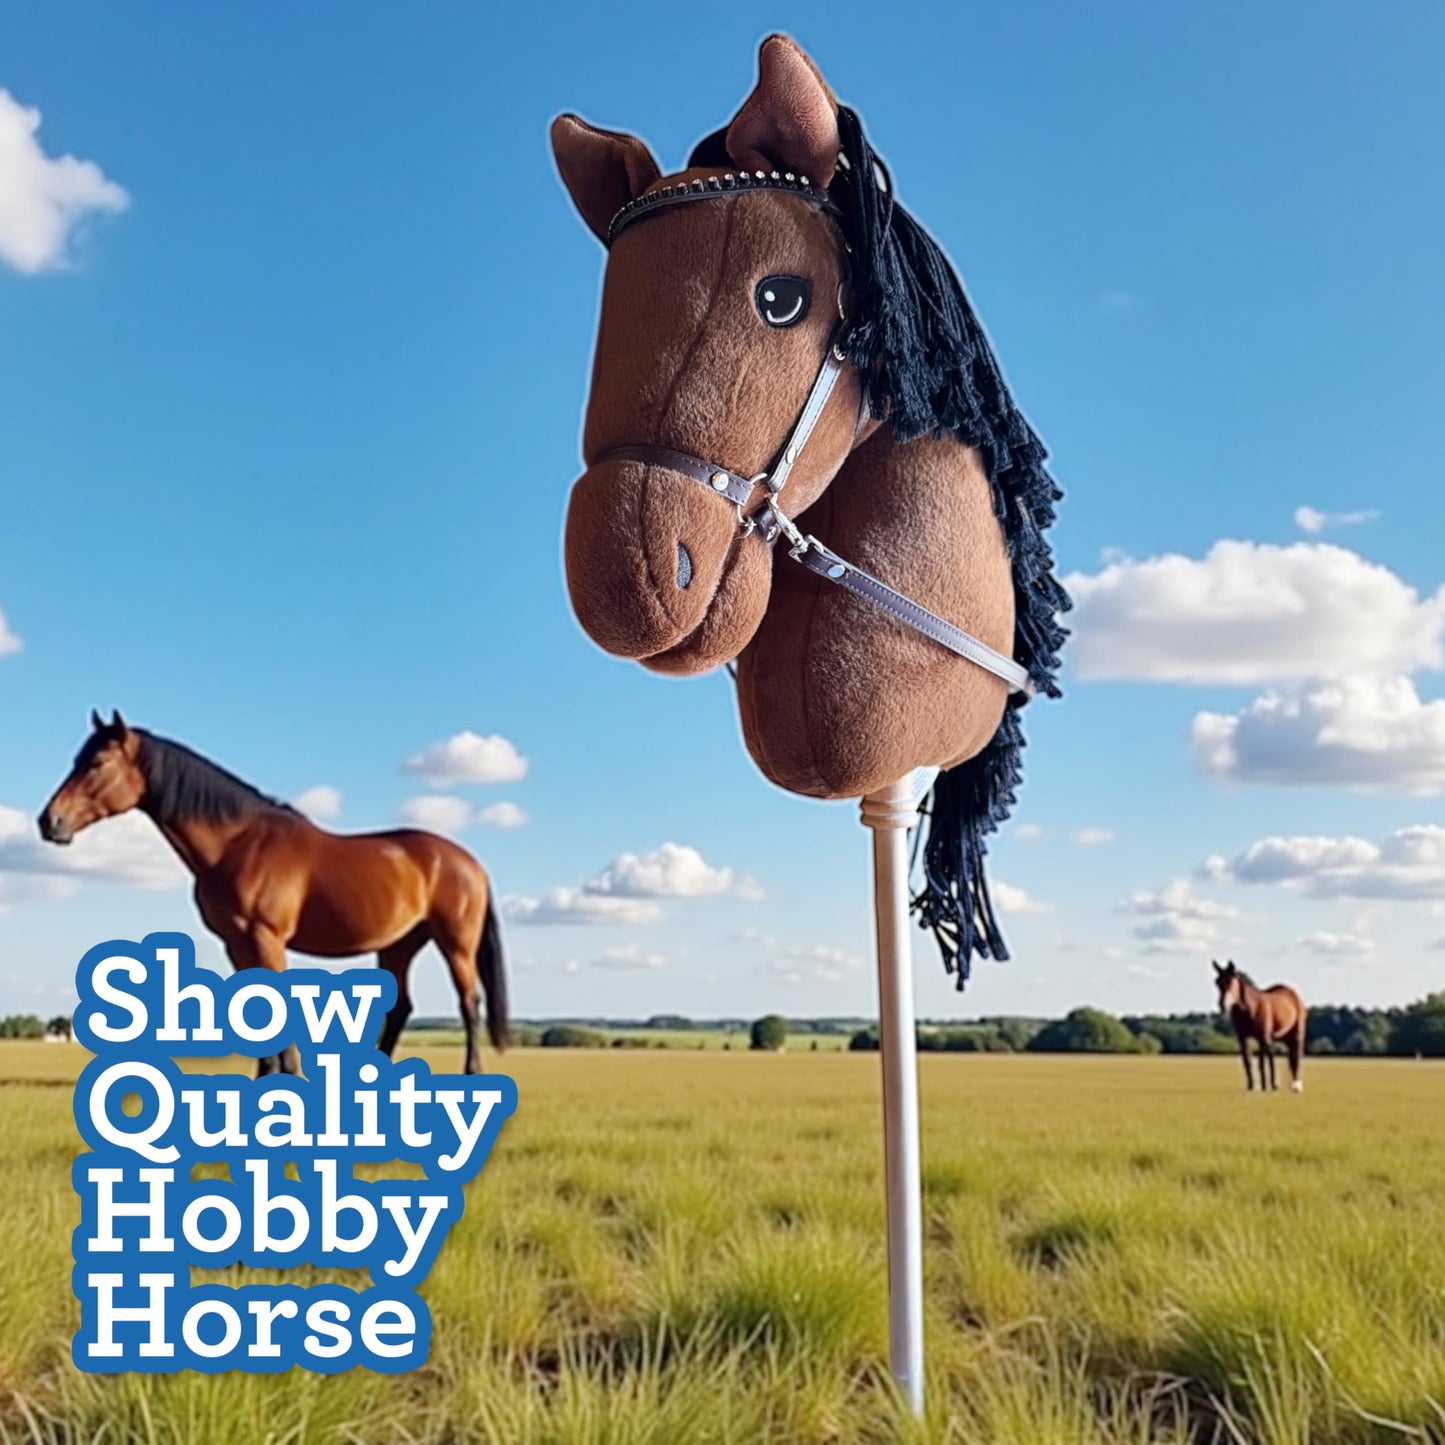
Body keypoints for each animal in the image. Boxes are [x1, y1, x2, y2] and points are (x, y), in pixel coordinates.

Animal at [38, 712, 509, 1075]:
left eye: (98, 763)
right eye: (77, 759)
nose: (49, 822)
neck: (237, 842)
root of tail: (471, 863)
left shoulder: (266, 938)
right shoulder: (236, 944)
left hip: (455, 943)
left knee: (469, 1002)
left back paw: (472, 1074)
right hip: (399, 944)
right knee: (401, 1009)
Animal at [1213, 960, 1306, 1093]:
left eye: (1231, 981)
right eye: (1217, 982)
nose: (1222, 1005)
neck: (1250, 1009)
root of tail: (1293, 994)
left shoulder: (1263, 1037)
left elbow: (1263, 1061)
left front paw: (1269, 1085)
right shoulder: (1243, 1038)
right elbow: (1248, 1061)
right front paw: (1252, 1086)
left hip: (1296, 1033)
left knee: (1295, 1057)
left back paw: (1296, 1085)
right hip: (1281, 1037)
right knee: (1285, 1057)